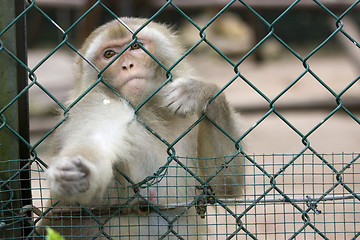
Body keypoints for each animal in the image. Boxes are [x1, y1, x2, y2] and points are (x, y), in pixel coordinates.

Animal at [37, 17, 245, 240]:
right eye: (109, 54)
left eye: (135, 46)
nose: (127, 65)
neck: (145, 111)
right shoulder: (97, 102)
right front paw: (75, 172)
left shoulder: (189, 119)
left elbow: (223, 186)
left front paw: (201, 92)